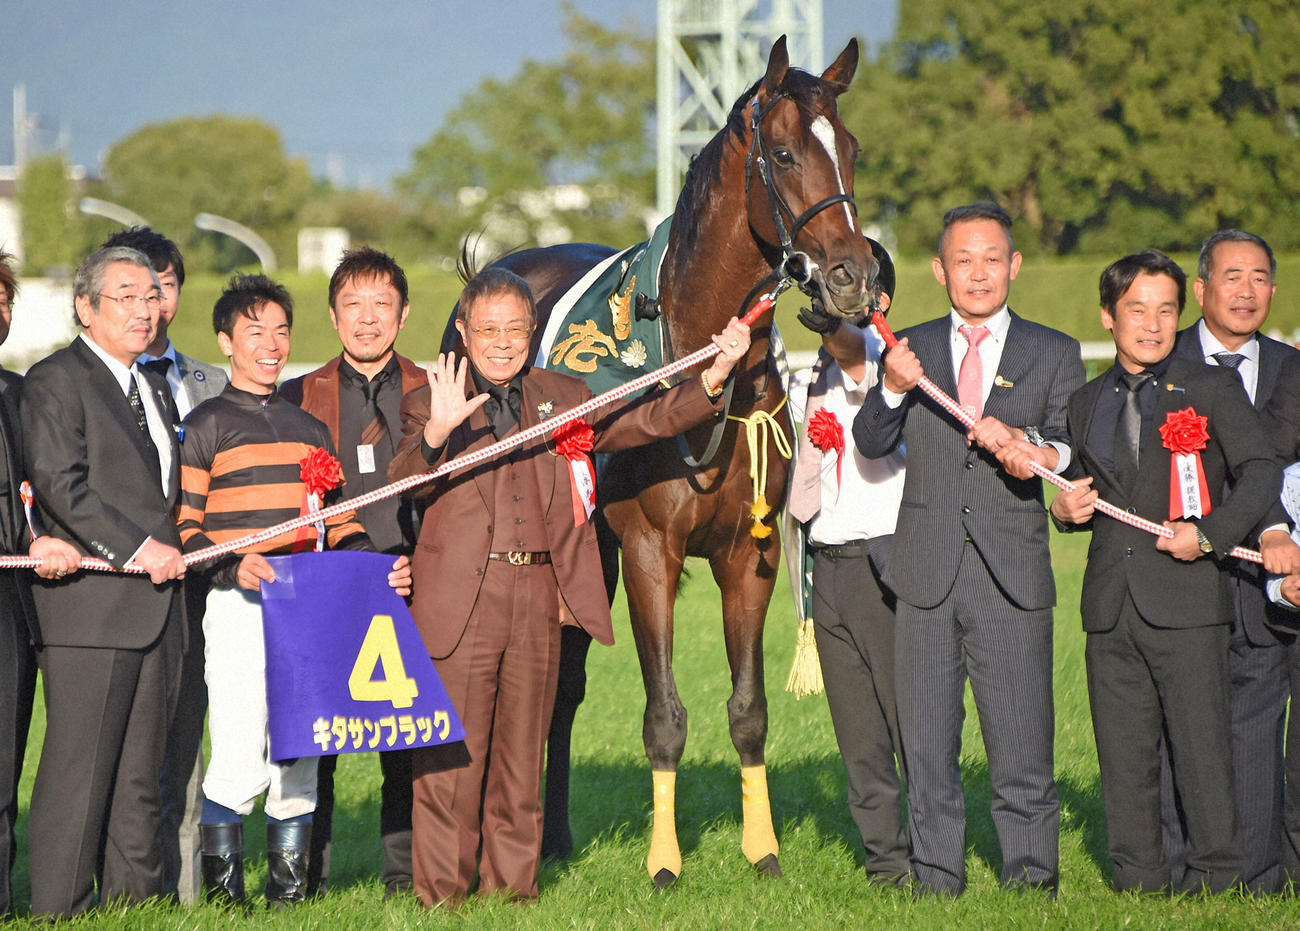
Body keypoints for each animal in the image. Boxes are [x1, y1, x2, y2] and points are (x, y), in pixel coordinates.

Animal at [442, 36, 873, 886]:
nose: (855, 276)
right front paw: (665, 860)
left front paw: (762, 848)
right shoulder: (647, 549)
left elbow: (749, 711)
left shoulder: (748, 556)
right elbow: (665, 715)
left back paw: (554, 831)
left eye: (851, 149)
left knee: (564, 688)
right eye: (782, 152)